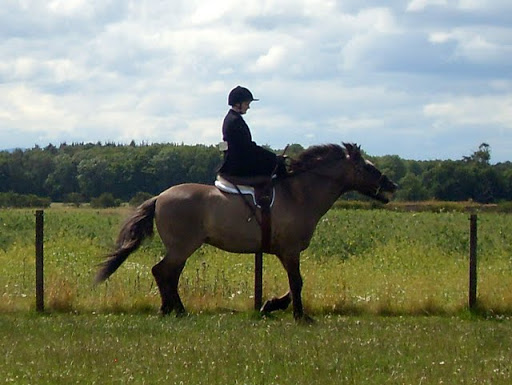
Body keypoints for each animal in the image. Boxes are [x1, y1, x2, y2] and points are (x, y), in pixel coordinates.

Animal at [97, 142, 400, 320]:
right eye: (367, 167)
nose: (392, 185)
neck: (299, 194)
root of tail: (160, 197)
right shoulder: (289, 251)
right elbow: (297, 282)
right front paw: (298, 315)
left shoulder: (285, 251)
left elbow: (295, 284)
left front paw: (271, 305)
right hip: (182, 246)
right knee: (163, 272)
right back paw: (175, 310)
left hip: (181, 248)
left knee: (167, 274)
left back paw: (172, 309)